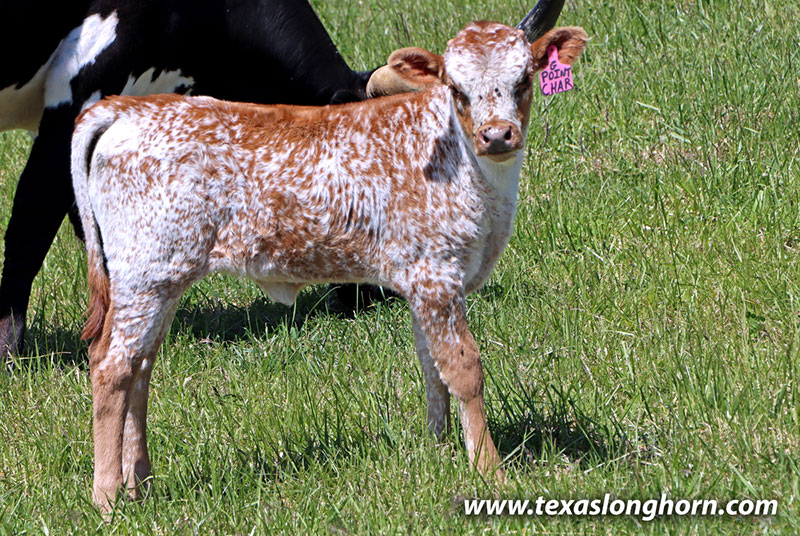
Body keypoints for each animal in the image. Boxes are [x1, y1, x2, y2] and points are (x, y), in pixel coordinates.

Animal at [71, 18, 588, 512]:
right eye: (457, 89)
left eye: (524, 79)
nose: (497, 135)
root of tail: (130, 108)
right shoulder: (437, 275)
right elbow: (463, 369)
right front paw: (488, 469)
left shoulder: (421, 281)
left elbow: (431, 365)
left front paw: (440, 451)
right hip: (145, 275)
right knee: (112, 367)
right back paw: (108, 496)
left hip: (163, 279)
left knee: (140, 366)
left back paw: (140, 482)